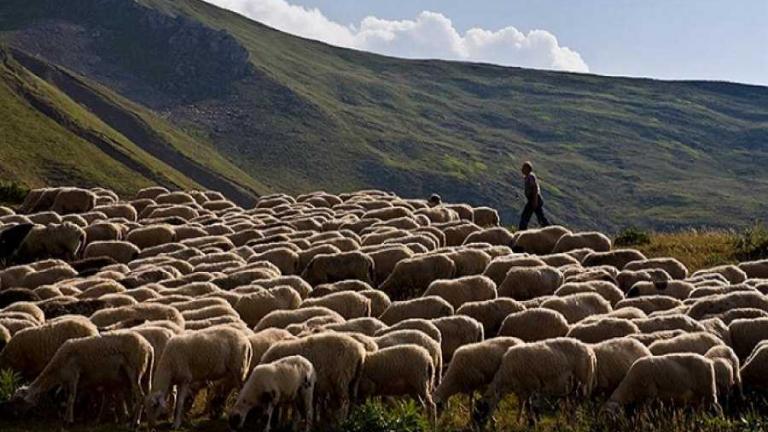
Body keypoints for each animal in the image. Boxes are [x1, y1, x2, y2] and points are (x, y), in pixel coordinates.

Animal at [13, 330, 153, 426]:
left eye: (19, 401)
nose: (16, 417)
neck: (56, 371)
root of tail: (148, 347)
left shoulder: (73, 375)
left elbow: (71, 398)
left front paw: (69, 420)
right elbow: (69, 398)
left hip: (134, 370)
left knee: (140, 396)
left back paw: (135, 422)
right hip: (145, 374)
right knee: (147, 396)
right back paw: (147, 421)